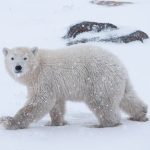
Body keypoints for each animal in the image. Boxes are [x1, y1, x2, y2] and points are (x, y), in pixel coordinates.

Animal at [0, 44, 148, 129]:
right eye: (12, 58)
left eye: (25, 58)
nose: (18, 67)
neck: (36, 69)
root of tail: (120, 65)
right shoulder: (53, 85)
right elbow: (56, 104)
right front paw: (55, 123)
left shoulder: (44, 79)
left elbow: (39, 102)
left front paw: (9, 122)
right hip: (114, 82)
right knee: (127, 97)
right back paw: (140, 114)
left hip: (99, 81)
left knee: (102, 103)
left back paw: (101, 124)